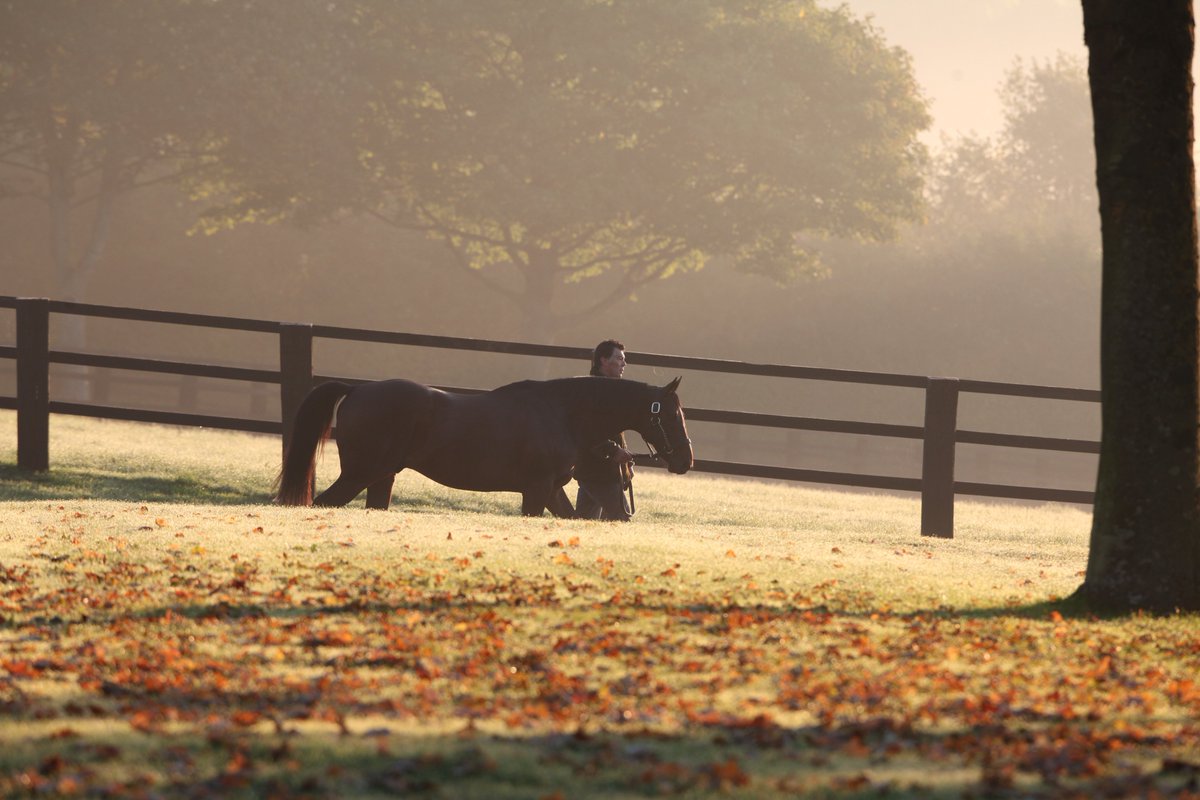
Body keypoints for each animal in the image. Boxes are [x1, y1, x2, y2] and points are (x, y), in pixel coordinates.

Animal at [275, 375, 693, 515]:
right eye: (672, 415)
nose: (686, 460)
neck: (562, 412)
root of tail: (358, 389)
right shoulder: (536, 490)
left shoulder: (551, 490)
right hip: (359, 474)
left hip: (382, 478)